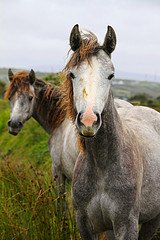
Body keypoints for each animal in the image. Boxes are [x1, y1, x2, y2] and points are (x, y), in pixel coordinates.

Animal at [61, 24, 160, 240]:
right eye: (72, 74)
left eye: (111, 75)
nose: (88, 121)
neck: (102, 164)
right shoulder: (85, 224)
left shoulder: (126, 224)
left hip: (152, 219)